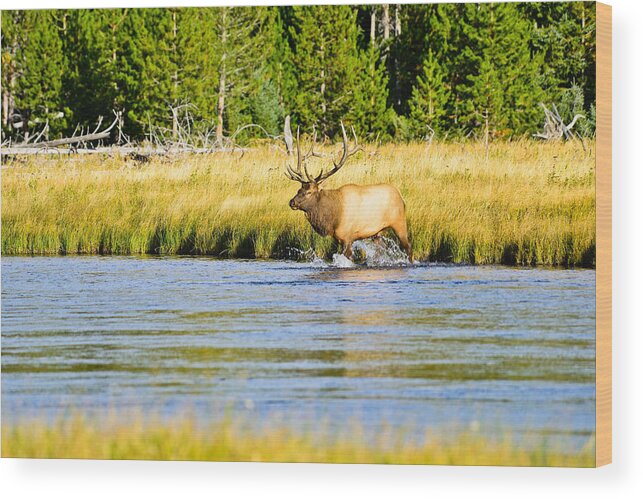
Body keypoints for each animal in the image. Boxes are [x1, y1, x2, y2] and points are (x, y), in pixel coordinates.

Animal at [286, 123, 412, 262]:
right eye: (299, 189)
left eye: (309, 192)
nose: (292, 202)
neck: (333, 218)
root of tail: (401, 197)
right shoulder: (338, 238)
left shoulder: (347, 236)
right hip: (377, 233)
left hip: (399, 222)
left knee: (408, 247)